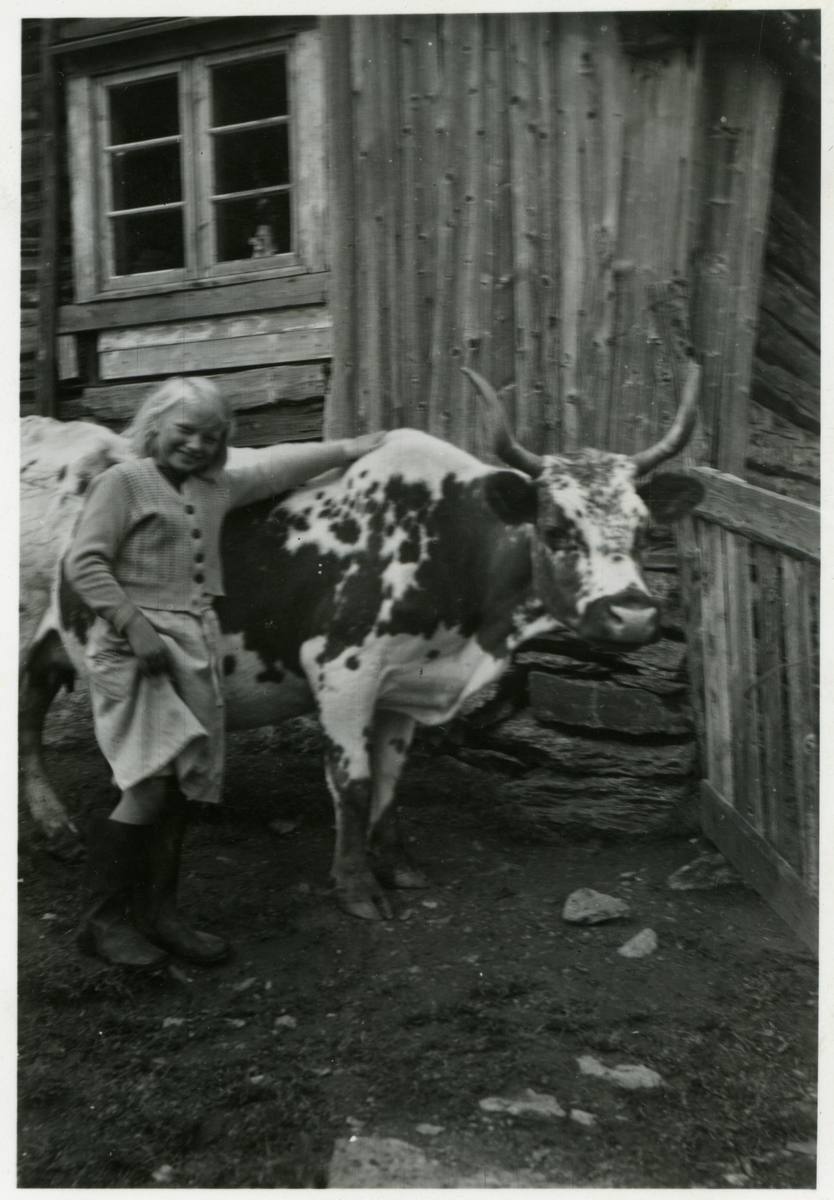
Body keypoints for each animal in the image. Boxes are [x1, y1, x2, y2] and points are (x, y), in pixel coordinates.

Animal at [17, 367, 705, 916]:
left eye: (643, 529)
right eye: (558, 529)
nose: (633, 615)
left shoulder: (404, 683)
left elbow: (390, 779)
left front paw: (396, 866)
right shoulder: (342, 672)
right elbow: (351, 780)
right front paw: (355, 887)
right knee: (27, 727)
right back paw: (57, 825)